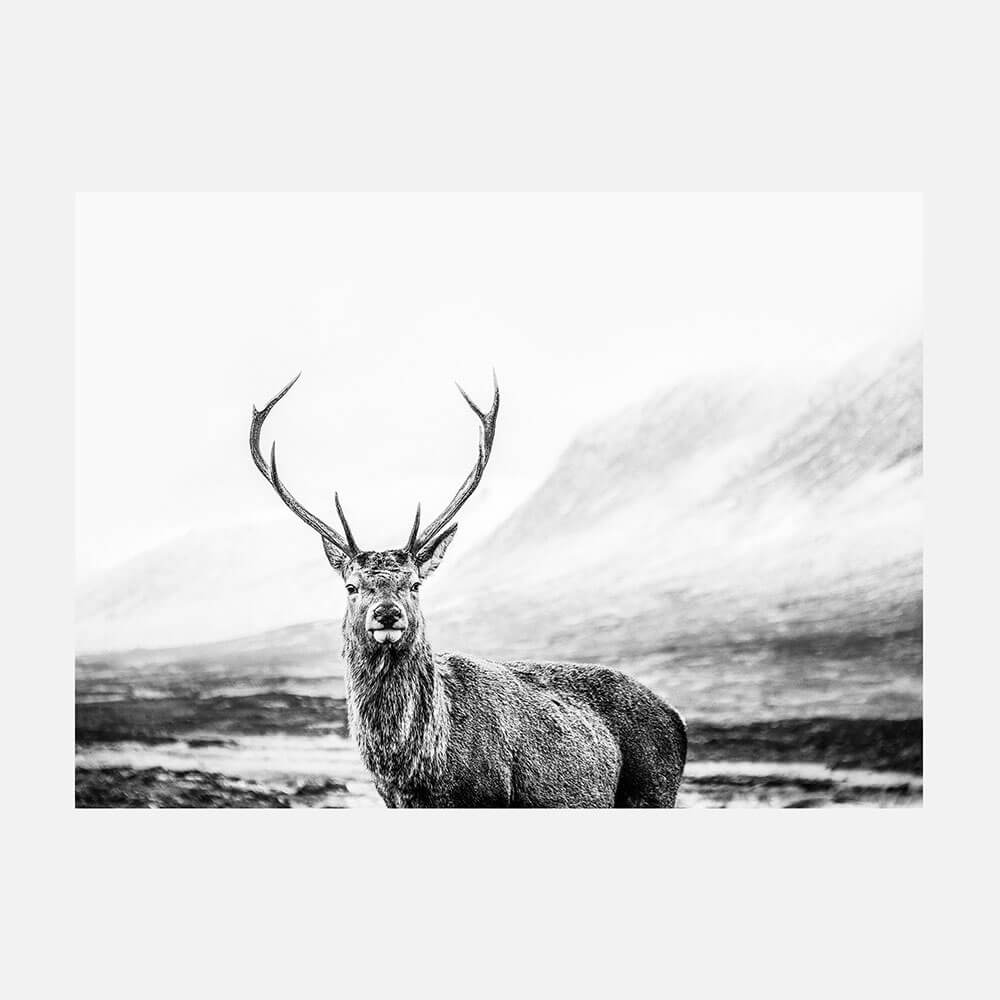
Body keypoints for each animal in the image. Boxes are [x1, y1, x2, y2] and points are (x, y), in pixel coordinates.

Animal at [250, 373, 686, 807]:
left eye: (415, 584)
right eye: (351, 586)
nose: (388, 613)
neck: (416, 771)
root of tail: (677, 720)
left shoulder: (488, 795)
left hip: (652, 791)